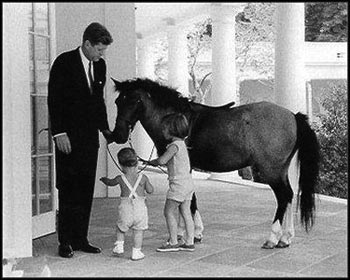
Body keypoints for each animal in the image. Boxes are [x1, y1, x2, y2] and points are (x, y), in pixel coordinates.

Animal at [109, 77, 320, 249]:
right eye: (118, 101)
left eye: (133, 101)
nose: (118, 134)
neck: (179, 119)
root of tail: (292, 116)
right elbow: (187, 199)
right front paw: (188, 232)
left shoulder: (182, 168)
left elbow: (188, 200)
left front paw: (190, 233)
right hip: (281, 170)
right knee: (290, 195)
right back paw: (286, 238)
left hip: (271, 171)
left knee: (283, 197)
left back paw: (273, 238)